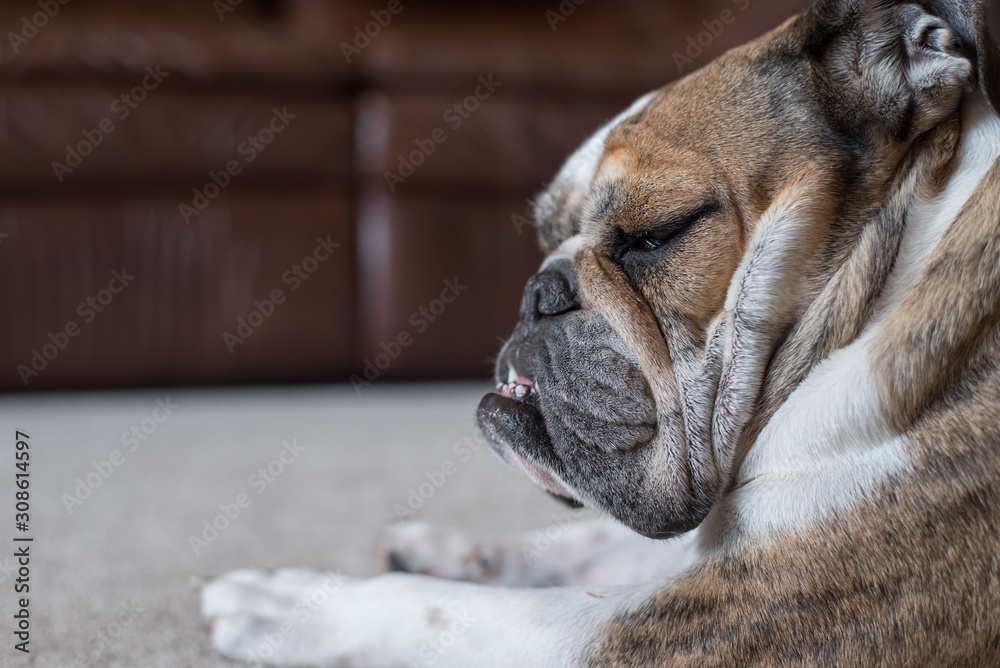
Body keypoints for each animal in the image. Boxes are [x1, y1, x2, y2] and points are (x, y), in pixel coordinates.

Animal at [201, 1, 1000, 664]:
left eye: (657, 234)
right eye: (547, 230)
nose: (539, 291)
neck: (901, 256)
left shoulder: (733, 614)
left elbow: (453, 612)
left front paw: (297, 602)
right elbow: (595, 541)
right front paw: (455, 549)